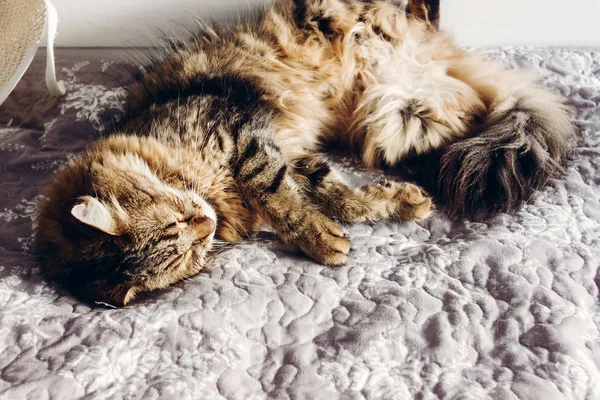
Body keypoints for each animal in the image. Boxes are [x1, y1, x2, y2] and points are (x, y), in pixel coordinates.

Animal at [35, 0, 576, 306]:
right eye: (187, 253)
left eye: (180, 220)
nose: (205, 224)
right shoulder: (287, 151)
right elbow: (335, 194)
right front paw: (377, 210)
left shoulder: (243, 133)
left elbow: (284, 197)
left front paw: (322, 238)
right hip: (395, 120)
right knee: (466, 121)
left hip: (380, 84)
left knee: (473, 105)